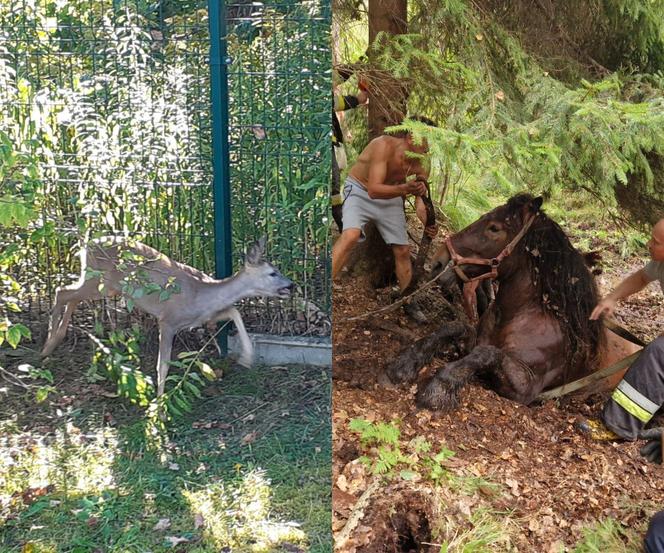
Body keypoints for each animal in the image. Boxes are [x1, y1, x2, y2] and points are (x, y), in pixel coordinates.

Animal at [384, 192, 640, 408]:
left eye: (494, 228)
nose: (438, 262)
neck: (520, 315)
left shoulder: (525, 388)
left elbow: (487, 353)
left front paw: (438, 388)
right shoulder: (472, 340)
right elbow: (453, 327)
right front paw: (404, 365)